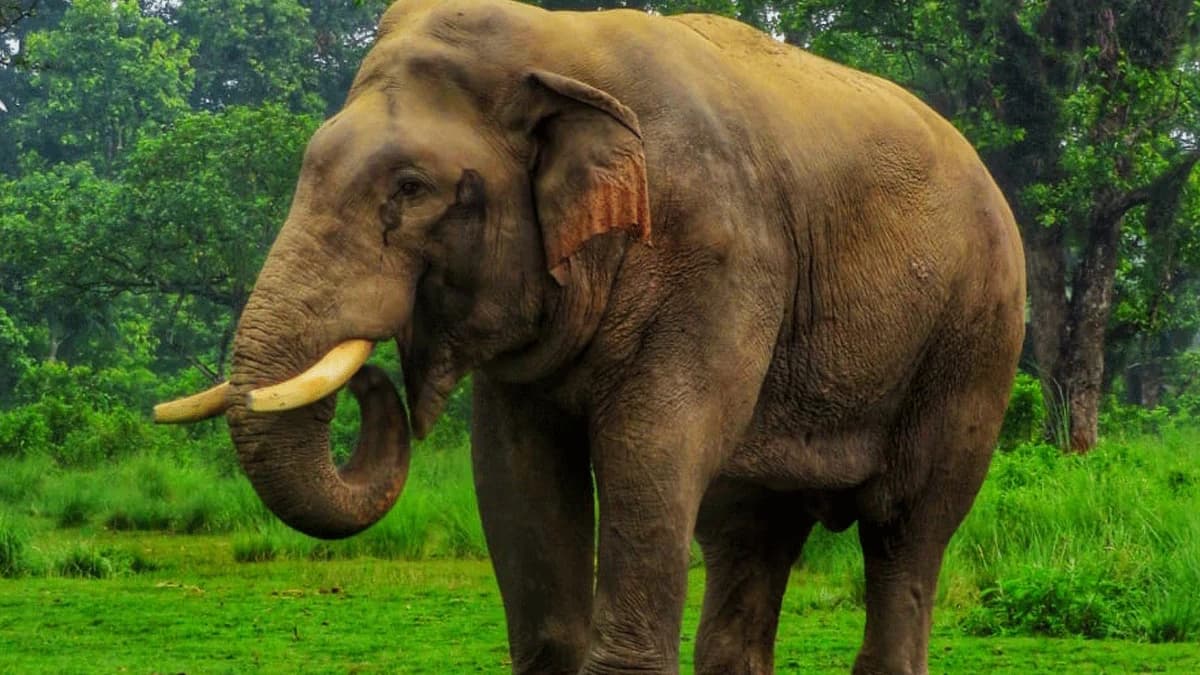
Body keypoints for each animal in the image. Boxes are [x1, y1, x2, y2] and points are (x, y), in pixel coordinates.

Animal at [155, 0, 1025, 673]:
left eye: (410, 187)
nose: (376, 372)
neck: (560, 43)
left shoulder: (714, 255)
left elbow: (651, 448)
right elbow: (515, 469)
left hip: (973, 340)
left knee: (906, 526)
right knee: (748, 531)